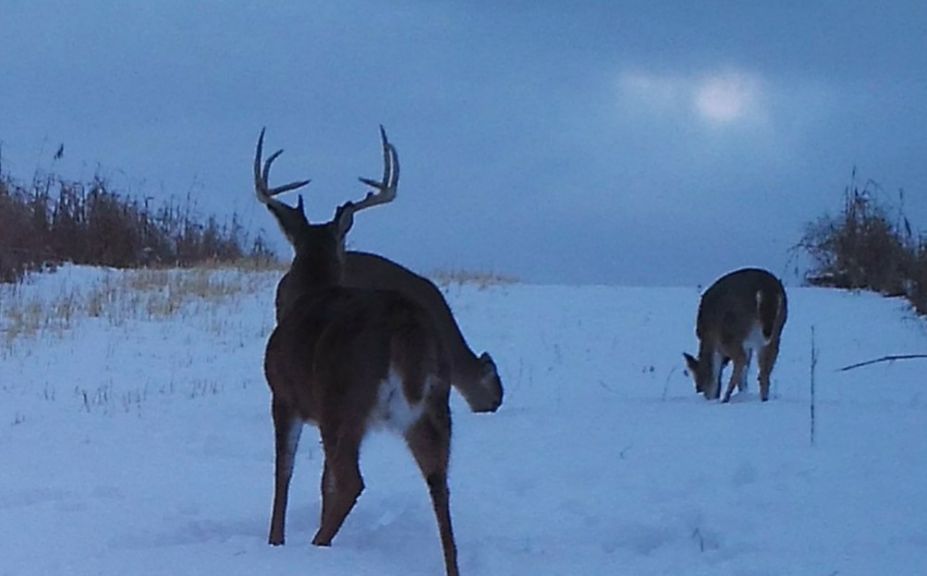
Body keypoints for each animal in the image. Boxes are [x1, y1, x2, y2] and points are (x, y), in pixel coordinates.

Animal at [256, 127, 458, 576]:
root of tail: (404, 328)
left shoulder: (284, 395)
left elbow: (284, 471)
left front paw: (275, 540)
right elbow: (320, 481)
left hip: (344, 397)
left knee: (352, 481)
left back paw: (317, 546)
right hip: (434, 405)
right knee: (439, 482)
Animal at [684, 268, 788, 402]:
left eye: (699, 382)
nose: (700, 391)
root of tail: (767, 290)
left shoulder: (715, 339)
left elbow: (715, 369)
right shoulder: (749, 345)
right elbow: (745, 372)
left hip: (732, 331)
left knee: (740, 359)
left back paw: (726, 398)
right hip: (775, 333)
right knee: (763, 372)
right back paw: (763, 399)